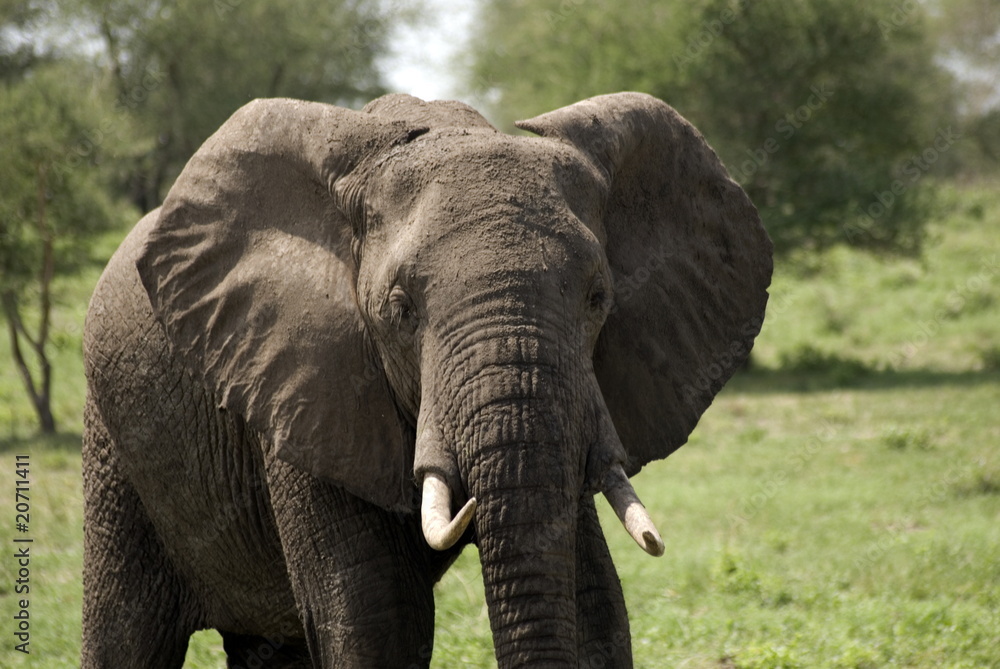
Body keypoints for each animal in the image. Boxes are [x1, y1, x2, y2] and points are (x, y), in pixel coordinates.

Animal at [81, 91, 772, 668]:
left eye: (598, 299)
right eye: (400, 309)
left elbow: (594, 604)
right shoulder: (302, 384)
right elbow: (377, 620)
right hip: (113, 443)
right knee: (126, 635)